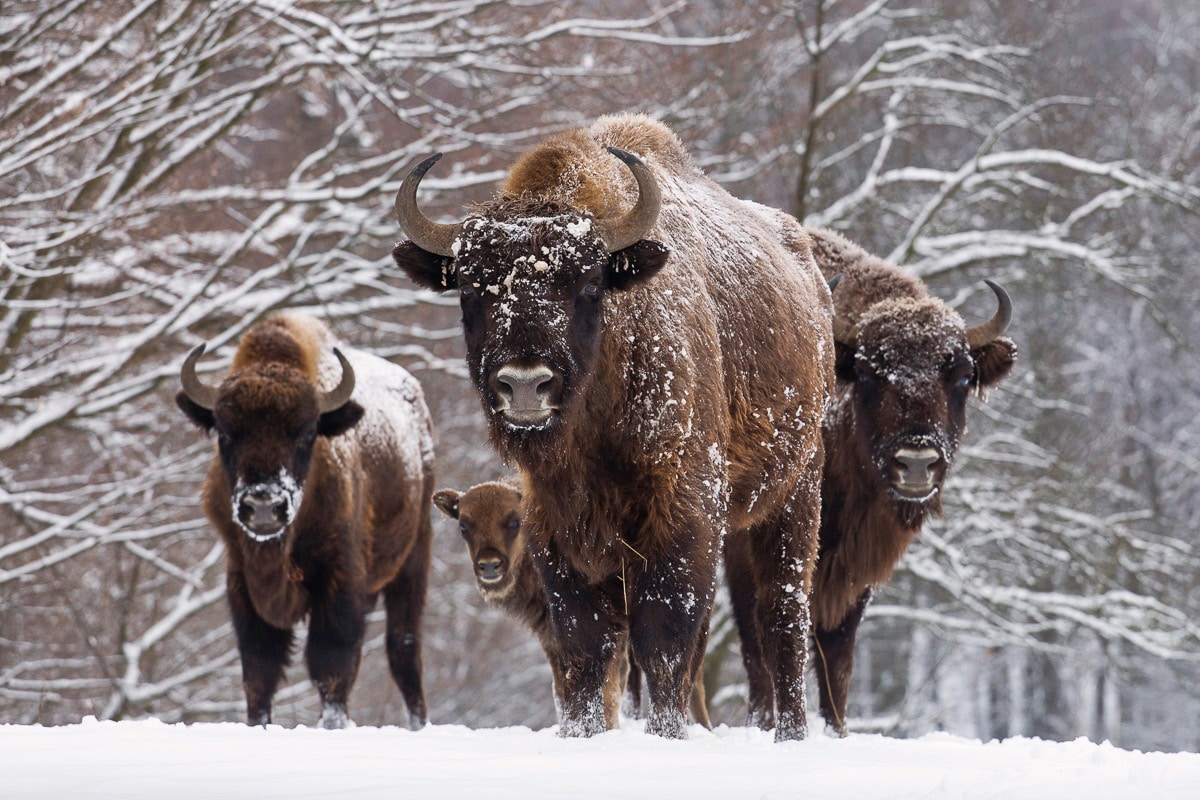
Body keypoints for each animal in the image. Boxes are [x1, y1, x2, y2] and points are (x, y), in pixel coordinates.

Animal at [175, 314, 439, 734]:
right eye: (225, 434)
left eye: (307, 433)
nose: (264, 507)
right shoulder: (242, 584)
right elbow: (259, 673)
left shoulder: (339, 582)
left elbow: (330, 666)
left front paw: (333, 724)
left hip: (413, 559)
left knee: (403, 648)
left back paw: (418, 722)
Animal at [393, 113, 835, 743]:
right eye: (473, 290)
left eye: (586, 284)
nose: (524, 384)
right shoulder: (555, 529)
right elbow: (586, 649)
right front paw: (584, 735)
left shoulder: (681, 516)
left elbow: (663, 641)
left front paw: (666, 734)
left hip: (796, 491)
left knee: (782, 613)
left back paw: (790, 734)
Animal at [724, 226, 1017, 738]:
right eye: (867, 372)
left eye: (962, 375)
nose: (916, 463)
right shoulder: (749, 547)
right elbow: (760, 643)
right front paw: (763, 724)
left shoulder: (854, 570)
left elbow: (838, 657)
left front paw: (837, 730)